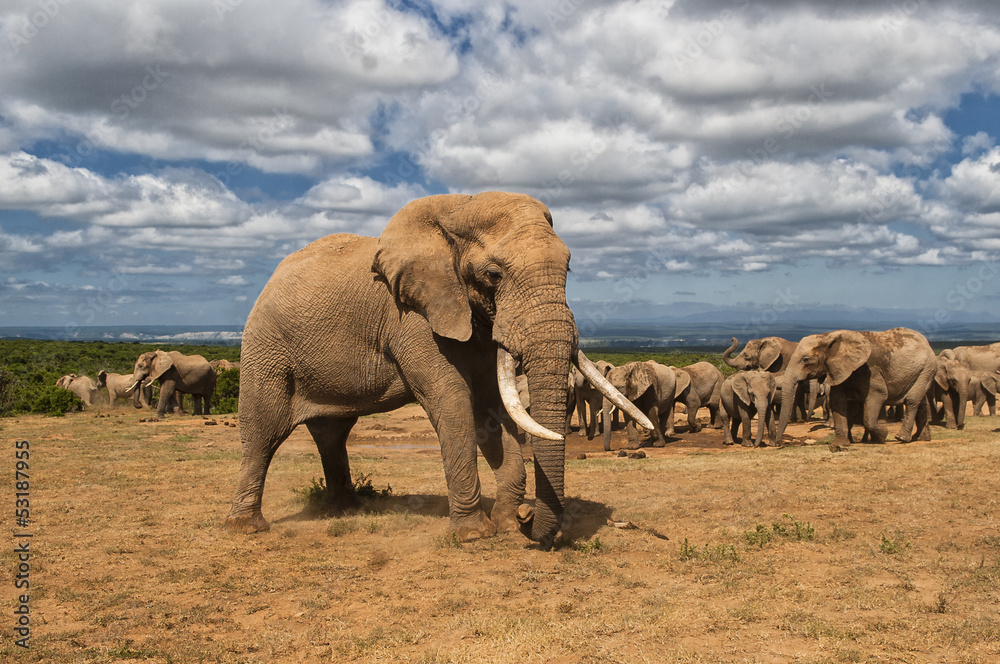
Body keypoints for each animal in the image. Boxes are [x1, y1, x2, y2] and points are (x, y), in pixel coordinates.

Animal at [223, 192, 652, 547]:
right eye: (493, 275)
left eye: (568, 268)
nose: (528, 518)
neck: (458, 208)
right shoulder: (412, 315)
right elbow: (454, 399)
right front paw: (476, 534)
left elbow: (492, 406)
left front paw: (507, 523)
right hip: (266, 348)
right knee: (264, 431)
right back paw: (247, 527)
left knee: (332, 433)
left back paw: (348, 510)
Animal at [773, 328, 937, 451]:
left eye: (806, 360)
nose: (777, 443)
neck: (829, 336)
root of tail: (927, 342)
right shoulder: (838, 369)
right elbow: (837, 402)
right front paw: (840, 444)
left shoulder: (869, 370)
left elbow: (877, 397)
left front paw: (882, 435)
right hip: (922, 371)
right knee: (920, 401)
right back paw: (921, 438)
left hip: (926, 368)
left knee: (912, 401)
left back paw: (901, 438)